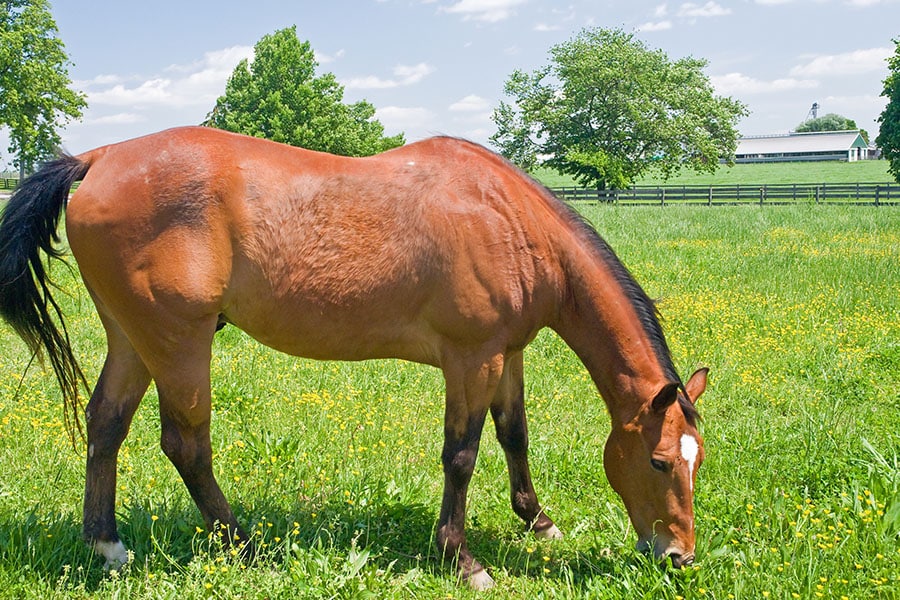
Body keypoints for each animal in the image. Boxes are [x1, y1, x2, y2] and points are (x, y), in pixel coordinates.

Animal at [0, 124, 712, 588]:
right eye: (657, 461)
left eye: (695, 461)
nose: (678, 556)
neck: (508, 220)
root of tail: (98, 158)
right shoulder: (471, 359)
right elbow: (462, 455)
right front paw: (462, 559)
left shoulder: (505, 355)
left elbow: (514, 435)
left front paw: (539, 522)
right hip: (179, 340)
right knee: (186, 444)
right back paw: (242, 544)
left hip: (132, 338)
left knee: (106, 425)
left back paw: (107, 546)